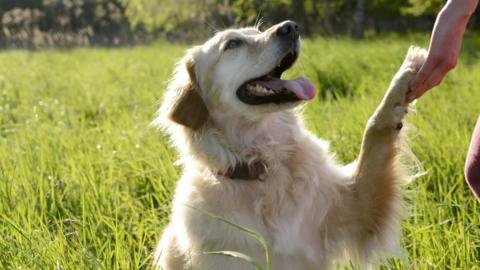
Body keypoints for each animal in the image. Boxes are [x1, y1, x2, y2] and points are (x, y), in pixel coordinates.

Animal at [152, 20, 426, 268]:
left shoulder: (357, 207)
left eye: (258, 30)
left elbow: (374, 133)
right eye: (232, 43)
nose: (291, 27)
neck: (265, 166)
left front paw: (406, 73)